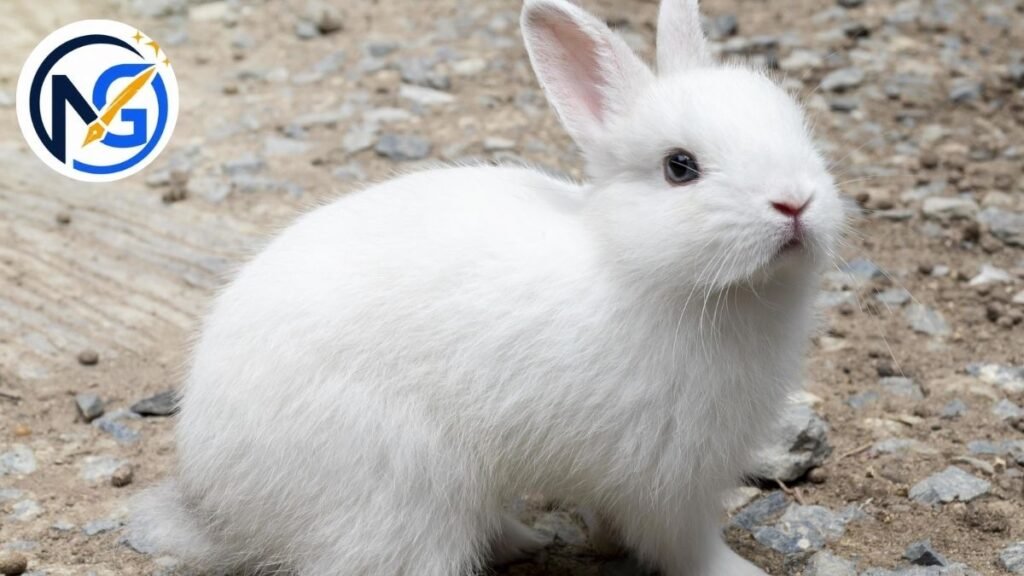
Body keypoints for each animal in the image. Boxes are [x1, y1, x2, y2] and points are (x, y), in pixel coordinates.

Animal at [131, 0, 848, 574]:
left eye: (797, 125)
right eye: (680, 167)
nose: (795, 202)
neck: (638, 267)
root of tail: (218, 496)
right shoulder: (667, 479)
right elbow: (683, 544)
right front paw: (739, 572)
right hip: (400, 497)